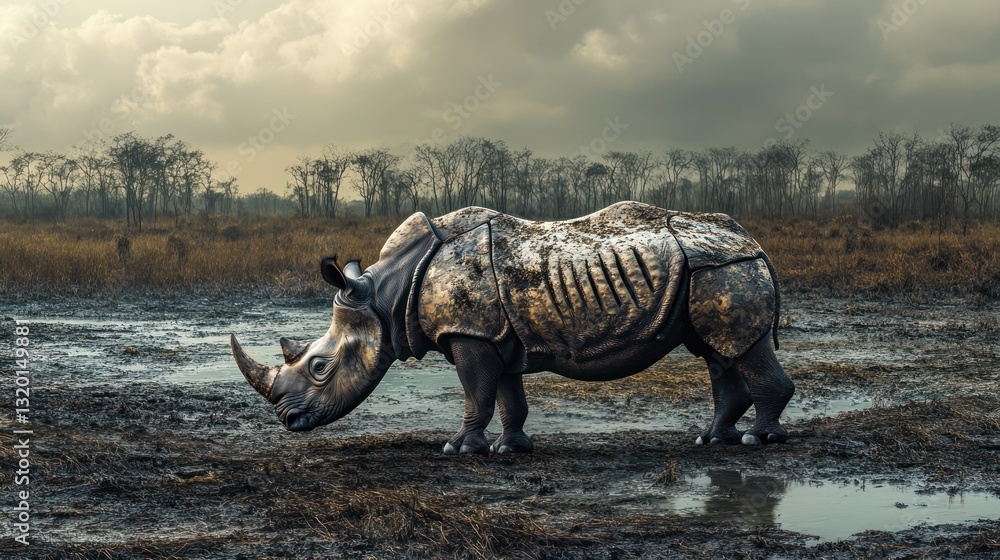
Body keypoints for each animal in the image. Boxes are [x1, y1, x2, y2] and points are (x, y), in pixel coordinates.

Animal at [231, 201, 794, 454]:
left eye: (320, 367)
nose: (287, 421)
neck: (386, 294)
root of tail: (755, 241)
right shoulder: (493, 335)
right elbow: (506, 394)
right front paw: (511, 448)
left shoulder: (469, 333)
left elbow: (477, 392)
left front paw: (459, 449)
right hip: (708, 272)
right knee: (718, 353)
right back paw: (712, 440)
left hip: (725, 268)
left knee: (737, 348)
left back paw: (758, 441)